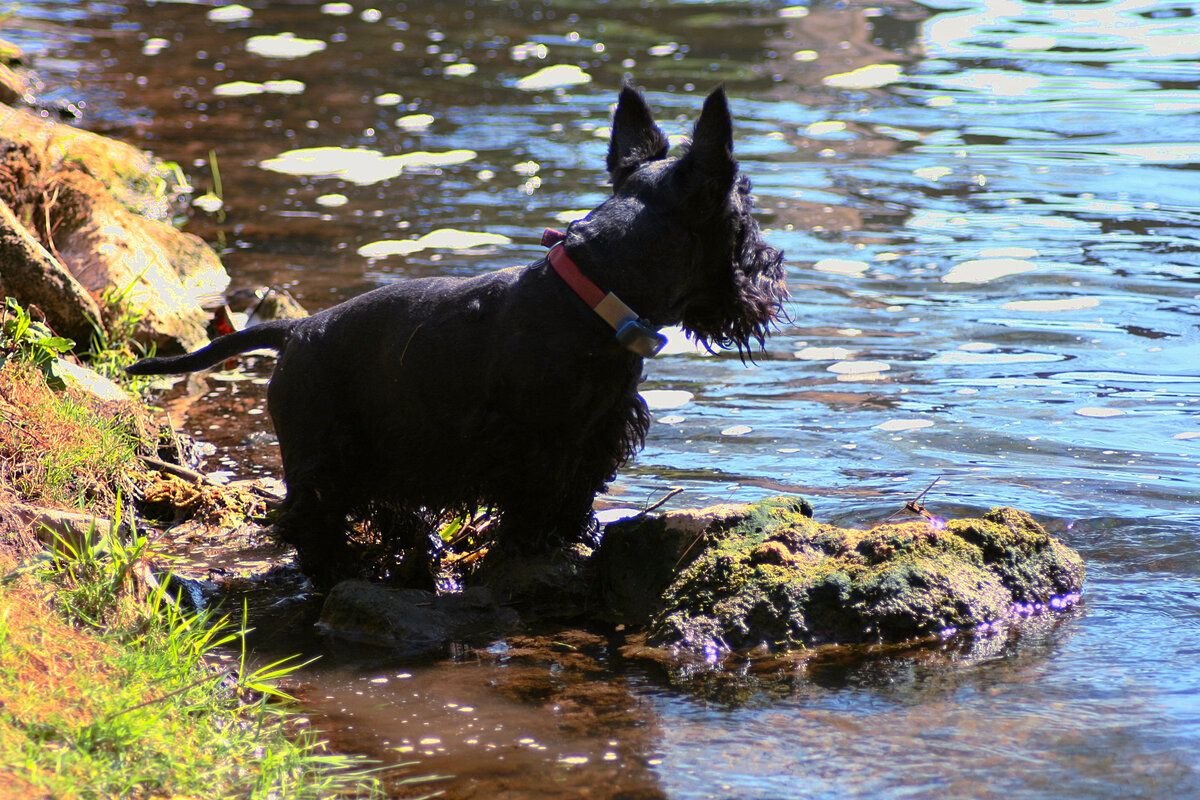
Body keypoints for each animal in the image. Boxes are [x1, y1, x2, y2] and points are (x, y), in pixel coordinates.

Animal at [129, 86, 787, 587]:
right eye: (745, 217)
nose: (774, 270)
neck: (596, 291)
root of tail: (296, 330)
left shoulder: (598, 430)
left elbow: (577, 488)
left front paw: (577, 533)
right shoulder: (533, 442)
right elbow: (535, 496)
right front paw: (531, 545)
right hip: (323, 459)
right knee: (311, 522)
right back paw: (343, 569)